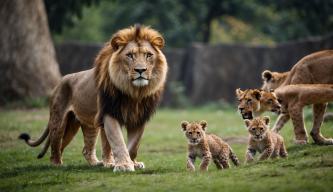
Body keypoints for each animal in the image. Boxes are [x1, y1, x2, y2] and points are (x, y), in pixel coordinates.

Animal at [19, 24, 167, 172]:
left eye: (148, 55)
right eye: (130, 55)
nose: (140, 70)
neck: (134, 92)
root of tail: (61, 81)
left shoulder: (139, 117)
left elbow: (133, 145)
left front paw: (131, 163)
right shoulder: (109, 112)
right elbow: (117, 141)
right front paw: (123, 165)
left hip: (84, 125)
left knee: (83, 148)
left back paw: (98, 163)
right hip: (59, 121)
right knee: (55, 145)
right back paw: (57, 164)